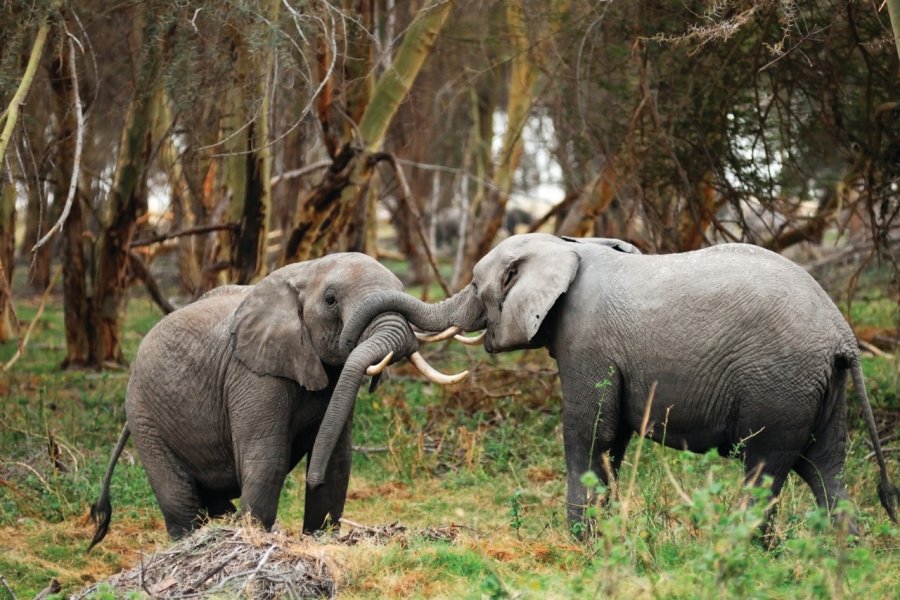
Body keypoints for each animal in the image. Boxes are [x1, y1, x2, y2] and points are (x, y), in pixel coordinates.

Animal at [89, 253, 472, 548]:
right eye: (331, 300)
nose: (311, 479)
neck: (306, 271)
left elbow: (337, 461)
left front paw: (319, 538)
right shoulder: (253, 375)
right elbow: (267, 458)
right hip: (144, 414)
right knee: (180, 499)